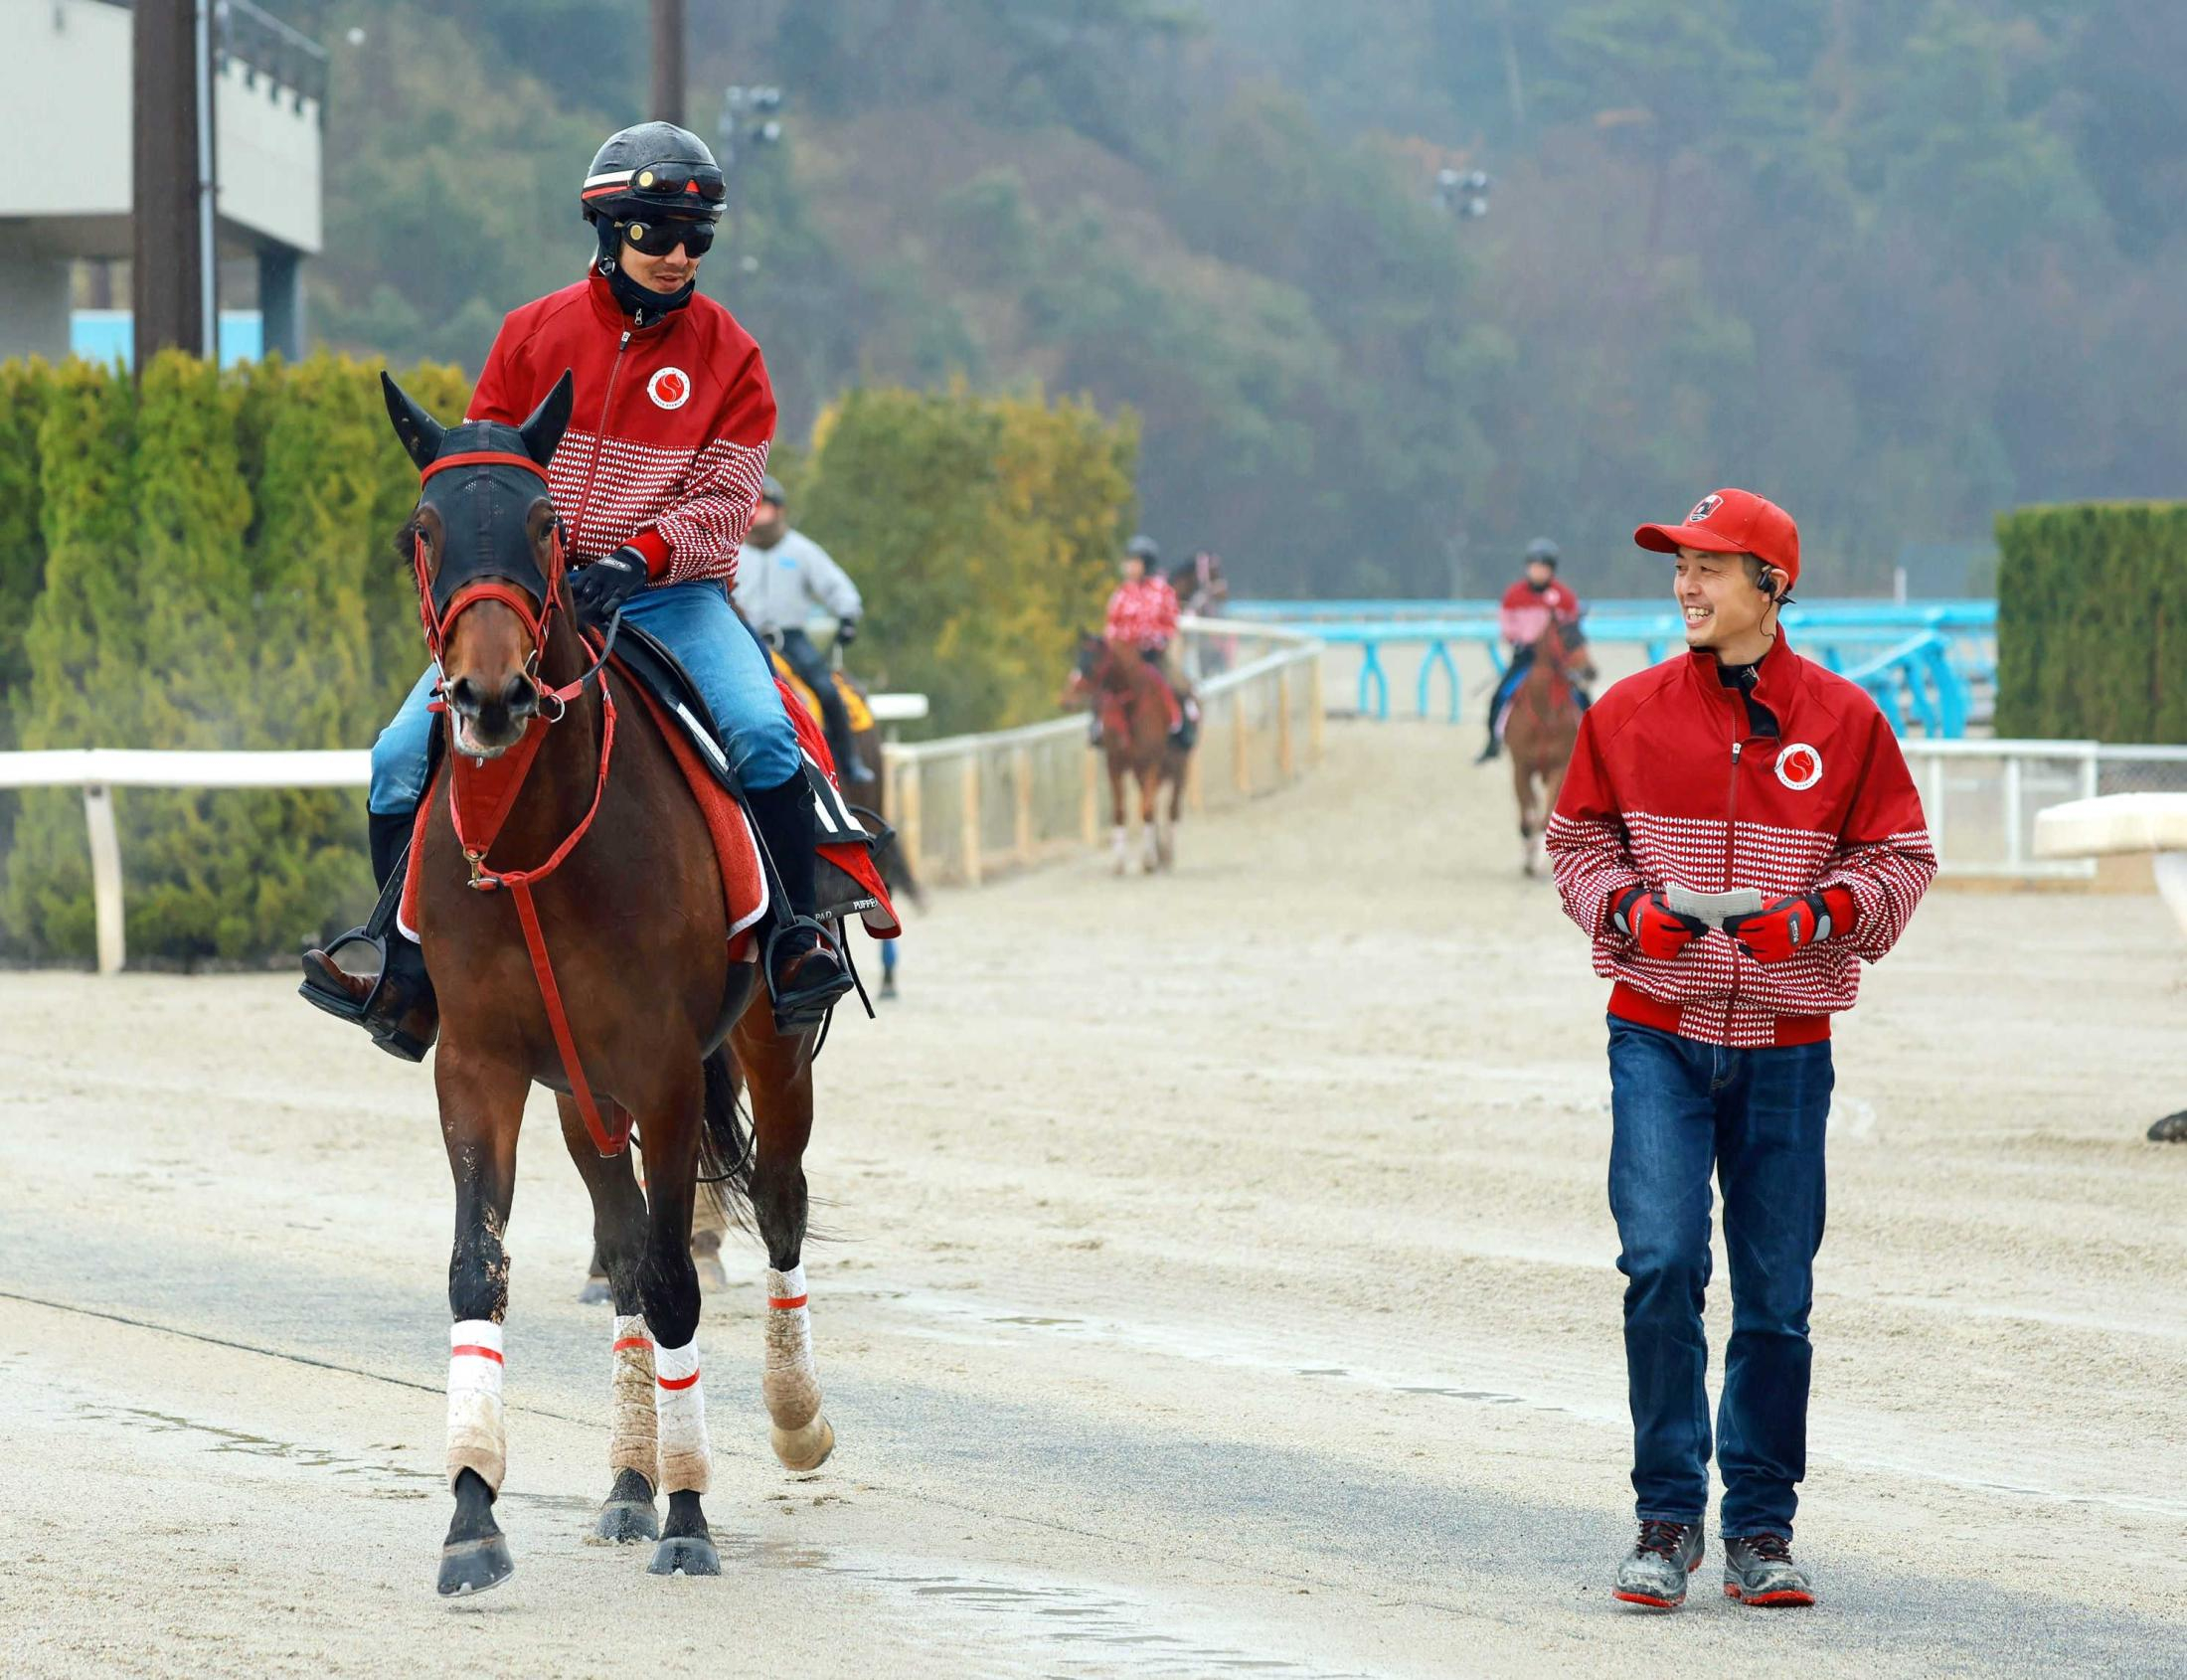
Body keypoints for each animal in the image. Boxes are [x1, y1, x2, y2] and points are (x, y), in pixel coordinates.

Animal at [378, 374, 835, 1592]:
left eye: (546, 525)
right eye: (424, 529)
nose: (489, 695)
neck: (537, 841)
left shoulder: (667, 1071)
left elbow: (680, 1278)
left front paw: (691, 1513)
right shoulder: (481, 1065)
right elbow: (480, 1269)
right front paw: (473, 1510)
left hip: (768, 1046)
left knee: (778, 1208)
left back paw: (791, 1420)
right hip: (583, 1097)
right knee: (624, 1254)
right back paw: (627, 1482)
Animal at [1067, 634, 1189, 879]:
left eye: (1091, 662)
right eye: (1077, 657)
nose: (1066, 699)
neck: (1130, 707)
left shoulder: (1151, 761)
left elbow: (1148, 810)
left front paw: (1149, 861)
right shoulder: (1115, 763)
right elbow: (1120, 811)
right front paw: (1119, 863)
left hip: (1178, 766)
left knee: (1171, 808)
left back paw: (1166, 855)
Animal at [1495, 616, 1600, 879]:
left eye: (1583, 637)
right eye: (1566, 639)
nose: (1590, 671)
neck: (1545, 715)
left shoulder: (1558, 767)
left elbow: (1544, 819)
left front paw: (1537, 861)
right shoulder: (1521, 768)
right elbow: (1526, 821)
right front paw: (1529, 860)